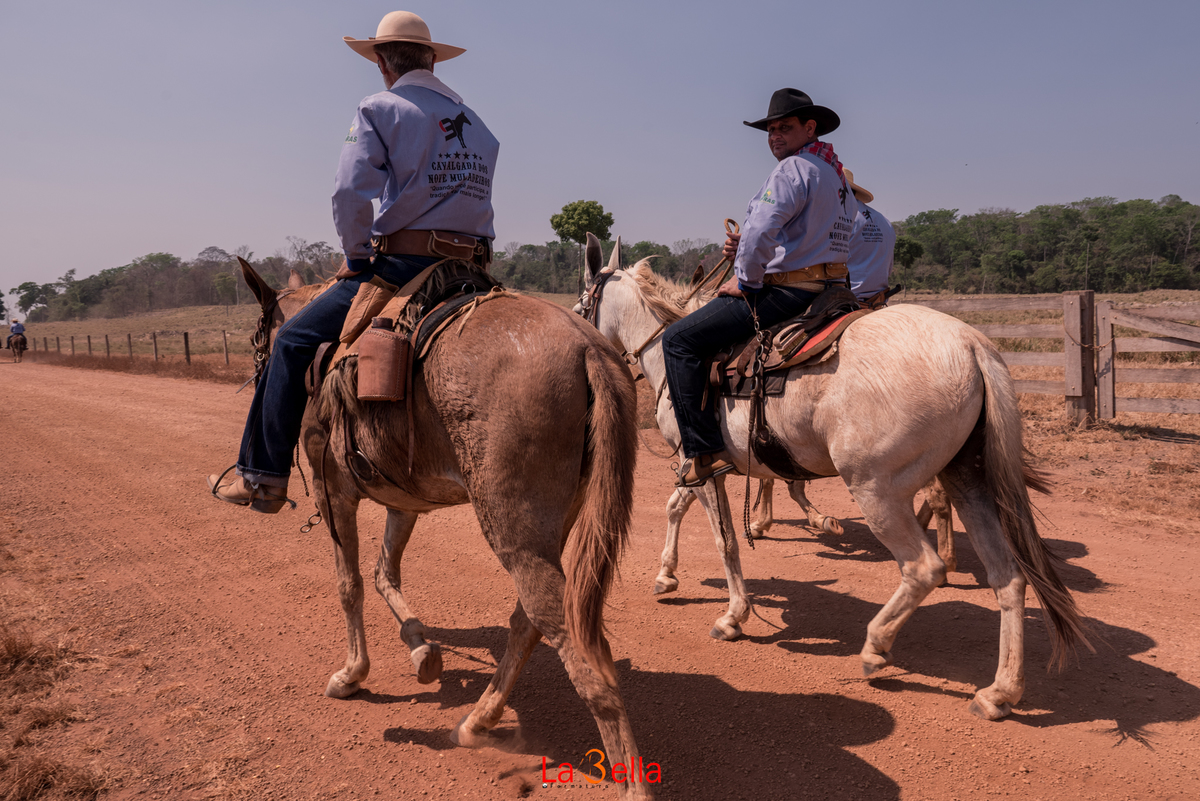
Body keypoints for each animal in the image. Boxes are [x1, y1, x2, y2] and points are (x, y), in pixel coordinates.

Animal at [235, 259, 650, 798]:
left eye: (257, 337)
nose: (257, 367)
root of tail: (589, 348)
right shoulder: (402, 500)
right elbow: (383, 573)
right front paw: (422, 652)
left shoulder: (334, 492)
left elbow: (350, 584)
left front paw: (352, 674)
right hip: (548, 529)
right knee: (528, 622)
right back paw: (478, 719)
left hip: (514, 534)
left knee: (577, 648)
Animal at [576, 240, 1088, 721]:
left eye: (583, 305)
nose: (579, 333)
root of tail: (969, 344)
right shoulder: (704, 466)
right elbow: (680, 508)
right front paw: (668, 576)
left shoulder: (697, 462)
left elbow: (723, 538)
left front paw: (732, 615)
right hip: (968, 480)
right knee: (1009, 577)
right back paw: (1000, 691)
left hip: (877, 490)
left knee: (923, 568)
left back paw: (877, 647)